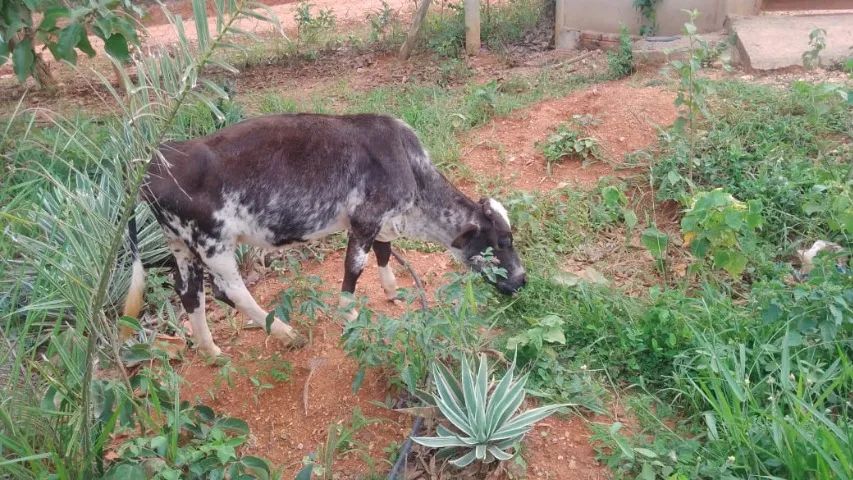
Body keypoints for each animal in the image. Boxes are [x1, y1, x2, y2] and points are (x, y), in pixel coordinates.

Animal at [123, 113, 526, 357]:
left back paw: (212, 352)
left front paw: (392, 290)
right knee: (230, 290)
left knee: (189, 292)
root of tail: (157, 160)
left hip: (180, 243)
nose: (522, 280)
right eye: (502, 241)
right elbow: (353, 270)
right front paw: (349, 314)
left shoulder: (379, 221)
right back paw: (285, 332)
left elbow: (383, 252)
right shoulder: (365, 219)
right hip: (213, 242)